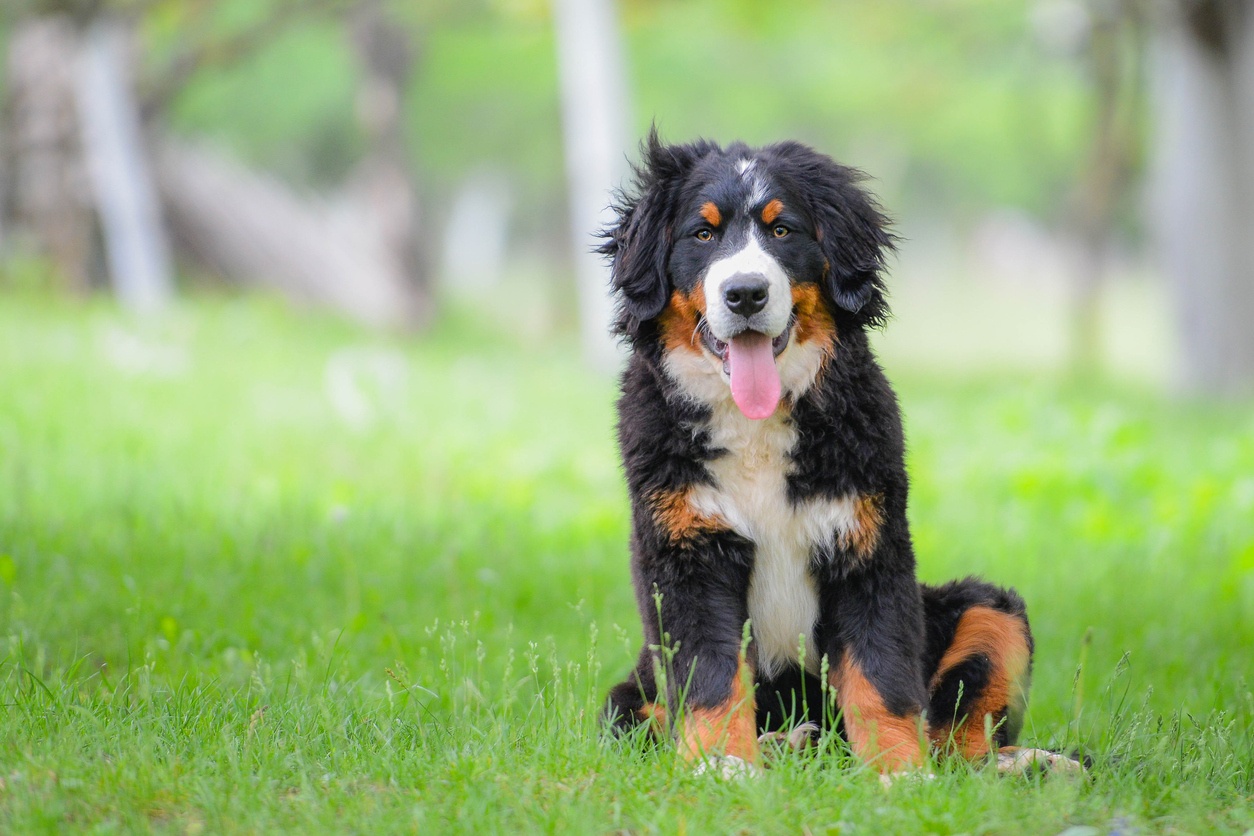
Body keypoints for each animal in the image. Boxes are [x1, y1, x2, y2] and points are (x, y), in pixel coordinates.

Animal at [599, 130, 1078, 777]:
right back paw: (786, 743)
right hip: (629, 697)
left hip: (989, 610)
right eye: (702, 234)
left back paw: (1027, 763)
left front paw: (901, 773)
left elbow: (881, 676)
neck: (755, 428)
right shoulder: (685, 550)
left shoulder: (866, 545)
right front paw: (722, 766)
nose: (745, 293)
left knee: (960, 736)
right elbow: (711, 674)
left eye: (783, 230)